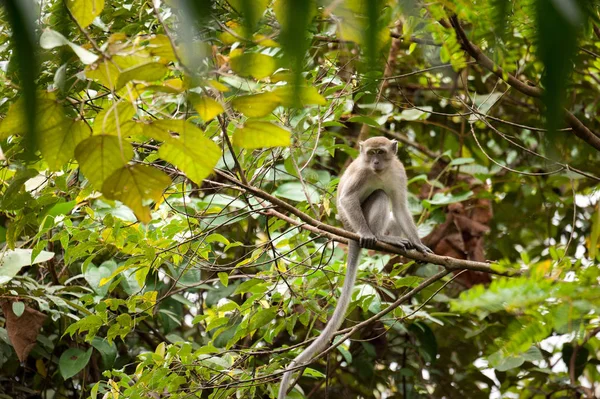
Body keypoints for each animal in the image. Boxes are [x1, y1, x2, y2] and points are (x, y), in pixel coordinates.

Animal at [278, 136, 428, 398]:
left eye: (381, 153)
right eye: (371, 154)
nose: (375, 162)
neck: (381, 171)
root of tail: (347, 230)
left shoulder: (398, 173)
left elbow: (400, 207)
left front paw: (419, 245)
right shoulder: (361, 173)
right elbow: (347, 198)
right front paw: (368, 234)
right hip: (355, 220)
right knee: (379, 195)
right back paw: (378, 237)